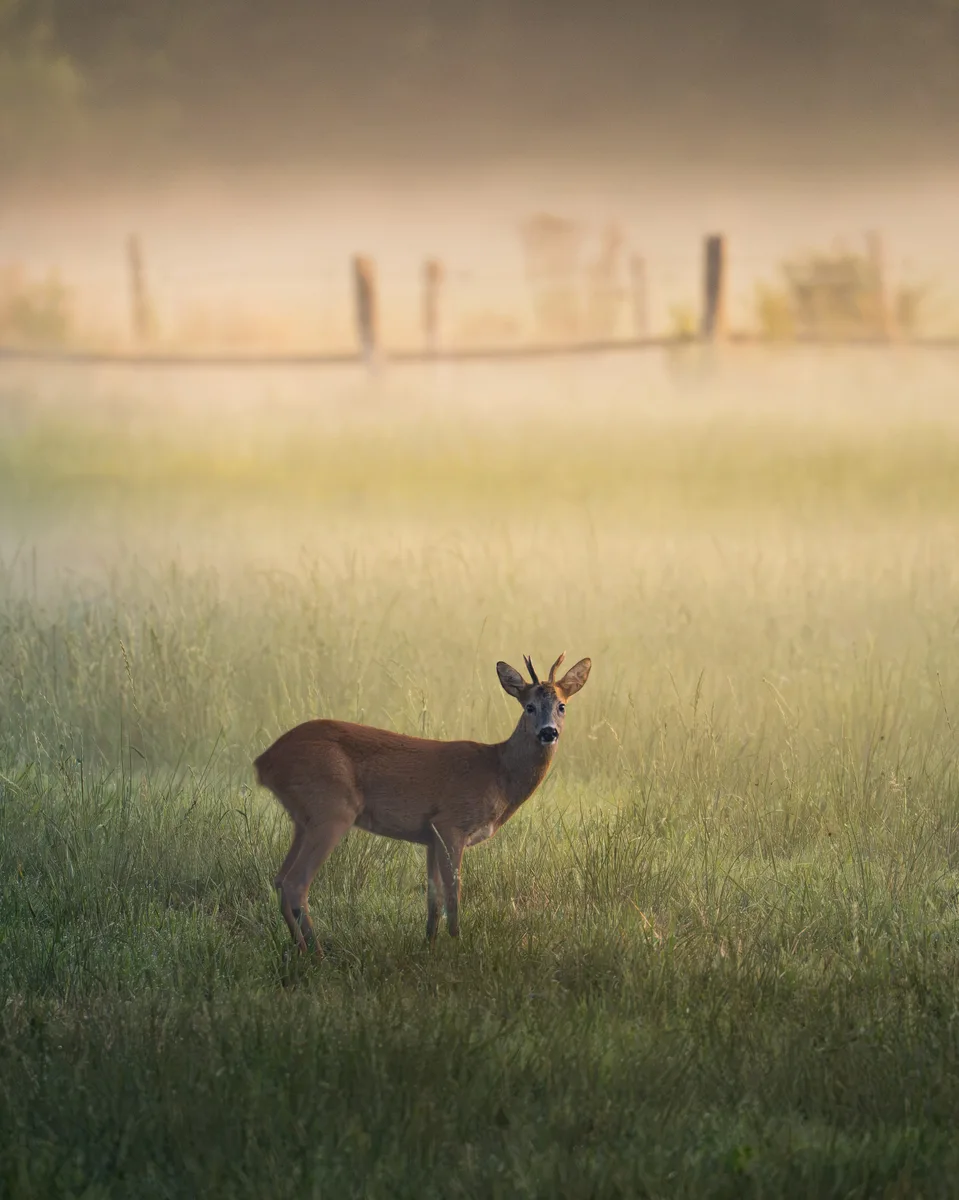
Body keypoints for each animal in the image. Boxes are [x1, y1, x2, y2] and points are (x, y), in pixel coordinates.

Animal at [253, 651, 591, 953]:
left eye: (562, 705)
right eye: (529, 706)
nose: (548, 732)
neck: (498, 772)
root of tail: (264, 760)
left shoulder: (430, 836)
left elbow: (433, 897)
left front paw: (429, 945)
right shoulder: (451, 823)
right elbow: (454, 893)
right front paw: (458, 945)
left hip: (303, 819)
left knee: (280, 879)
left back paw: (298, 950)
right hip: (332, 809)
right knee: (296, 883)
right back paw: (318, 955)